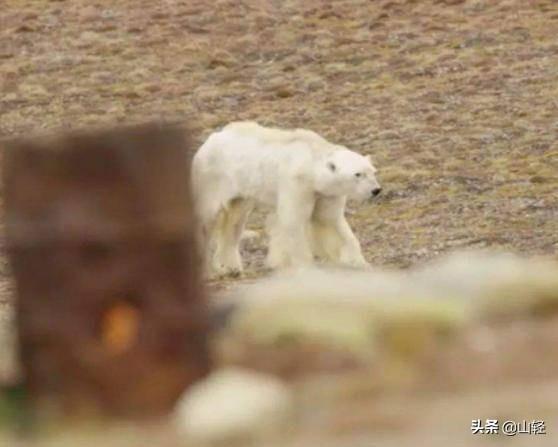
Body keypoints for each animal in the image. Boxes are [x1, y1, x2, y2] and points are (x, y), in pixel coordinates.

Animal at [191, 121, 380, 278]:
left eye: (373, 171)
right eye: (358, 174)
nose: (376, 190)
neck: (310, 162)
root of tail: (209, 140)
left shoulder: (325, 193)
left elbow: (330, 220)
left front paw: (360, 263)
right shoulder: (297, 183)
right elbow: (293, 221)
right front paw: (306, 269)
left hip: (241, 188)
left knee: (235, 220)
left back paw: (231, 268)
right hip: (211, 178)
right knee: (207, 218)